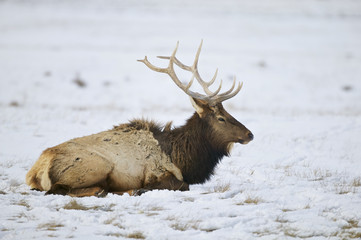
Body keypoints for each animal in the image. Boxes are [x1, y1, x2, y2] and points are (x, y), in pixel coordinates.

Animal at [26, 41, 253, 197]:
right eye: (221, 118)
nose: (250, 134)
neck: (182, 158)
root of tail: (36, 172)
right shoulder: (158, 173)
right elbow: (181, 185)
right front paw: (141, 189)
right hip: (96, 166)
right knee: (58, 189)